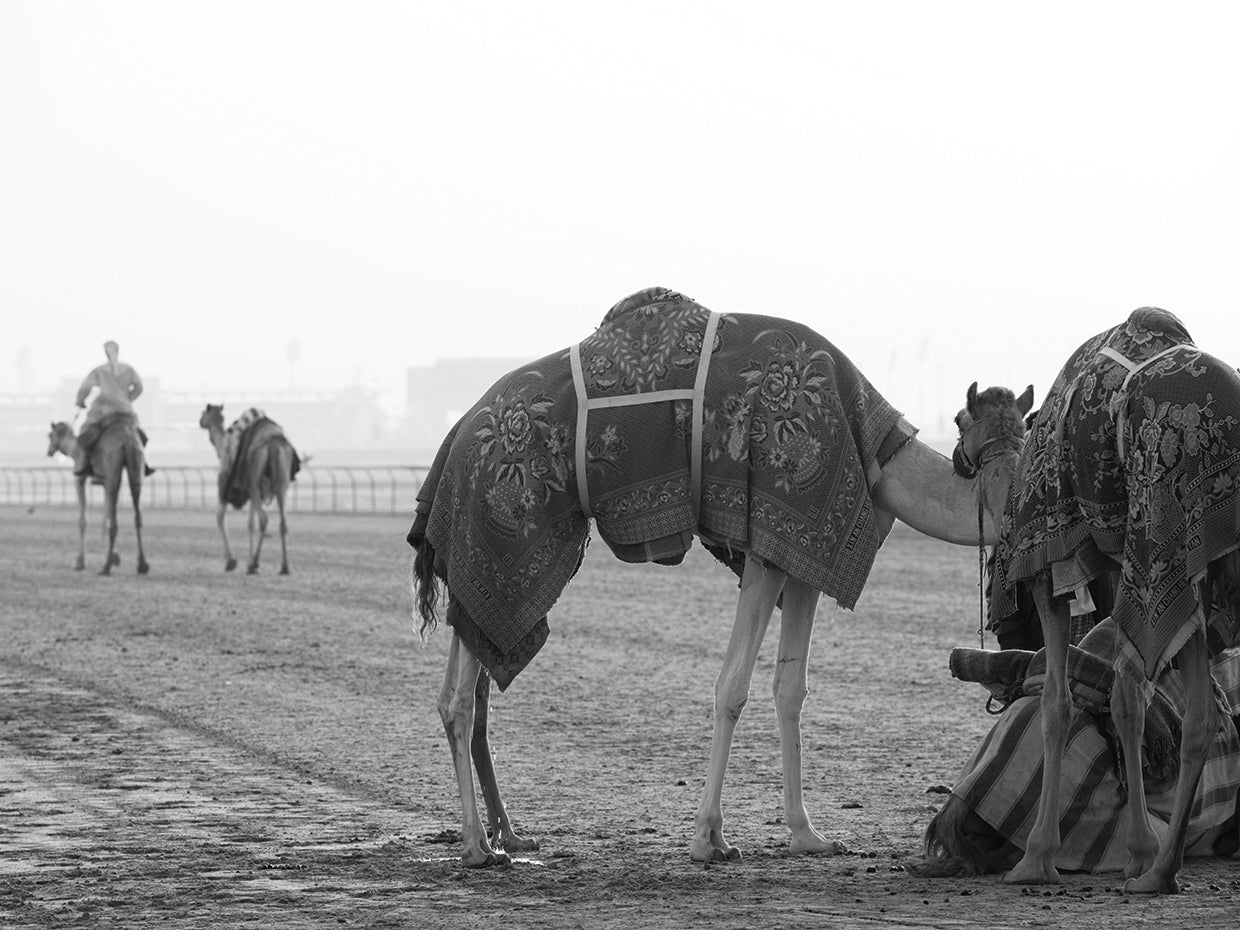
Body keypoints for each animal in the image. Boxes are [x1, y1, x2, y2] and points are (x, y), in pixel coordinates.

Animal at [46, 419, 149, 575]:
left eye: (50, 435)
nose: (49, 451)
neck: (74, 449)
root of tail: (127, 439)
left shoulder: (80, 478)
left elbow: (83, 519)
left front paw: (80, 561)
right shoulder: (104, 483)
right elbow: (105, 515)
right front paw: (114, 556)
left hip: (113, 468)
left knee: (114, 522)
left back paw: (105, 567)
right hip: (136, 464)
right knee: (137, 513)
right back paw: (142, 565)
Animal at [198, 404, 299, 575]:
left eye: (203, 413)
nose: (200, 422)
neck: (223, 446)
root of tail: (274, 442)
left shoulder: (224, 487)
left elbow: (220, 518)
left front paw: (231, 561)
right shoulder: (252, 496)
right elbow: (250, 524)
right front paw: (247, 561)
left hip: (254, 478)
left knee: (264, 519)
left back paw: (255, 563)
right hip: (282, 480)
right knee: (282, 522)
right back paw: (284, 567)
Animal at [408, 287, 1033, 867]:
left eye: (1023, 422)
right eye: (963, 419)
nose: (1003, 466)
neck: (876, 456)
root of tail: (454, 438)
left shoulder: (804, 561)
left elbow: (791, 687)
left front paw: (808, 835)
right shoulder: (767, 538)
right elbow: (732, 685)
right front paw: (709, 838)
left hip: (476, 561)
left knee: (461, 683)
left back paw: (507, 836)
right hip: (497, 535)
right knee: (462, 697)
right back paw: (477, 846)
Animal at [989, 307, 1240, 894]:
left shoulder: (1053, 564)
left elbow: (1058, 702)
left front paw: (1037, 856)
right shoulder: (1134, 568)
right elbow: (1139, 700)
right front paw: (1143, 855)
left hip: (1167, 532)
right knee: (1202, 718)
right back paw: (1163, 873)